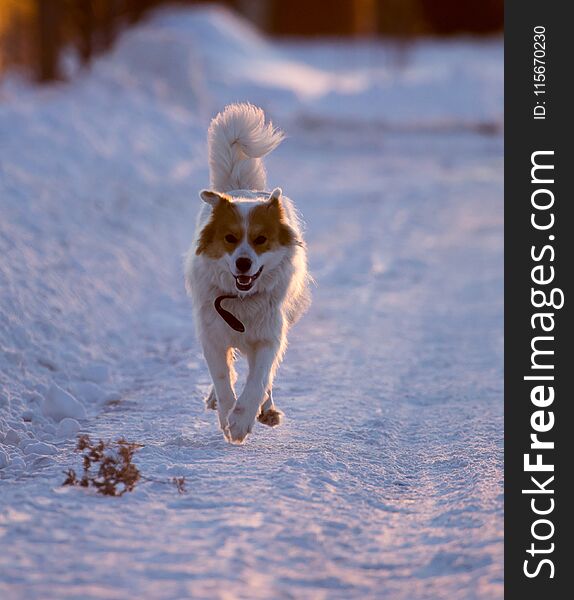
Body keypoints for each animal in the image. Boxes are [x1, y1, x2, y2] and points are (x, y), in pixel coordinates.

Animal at [184, 103, 310, 442]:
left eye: (260, 239)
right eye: (230, 238)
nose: (243, 263)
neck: (240, 299)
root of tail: (244, 189)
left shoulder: (269, 335)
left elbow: (258, 380)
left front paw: (242, 420)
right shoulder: (212, 334)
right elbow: (222, 378)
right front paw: (228, 414)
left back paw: (266, 410)